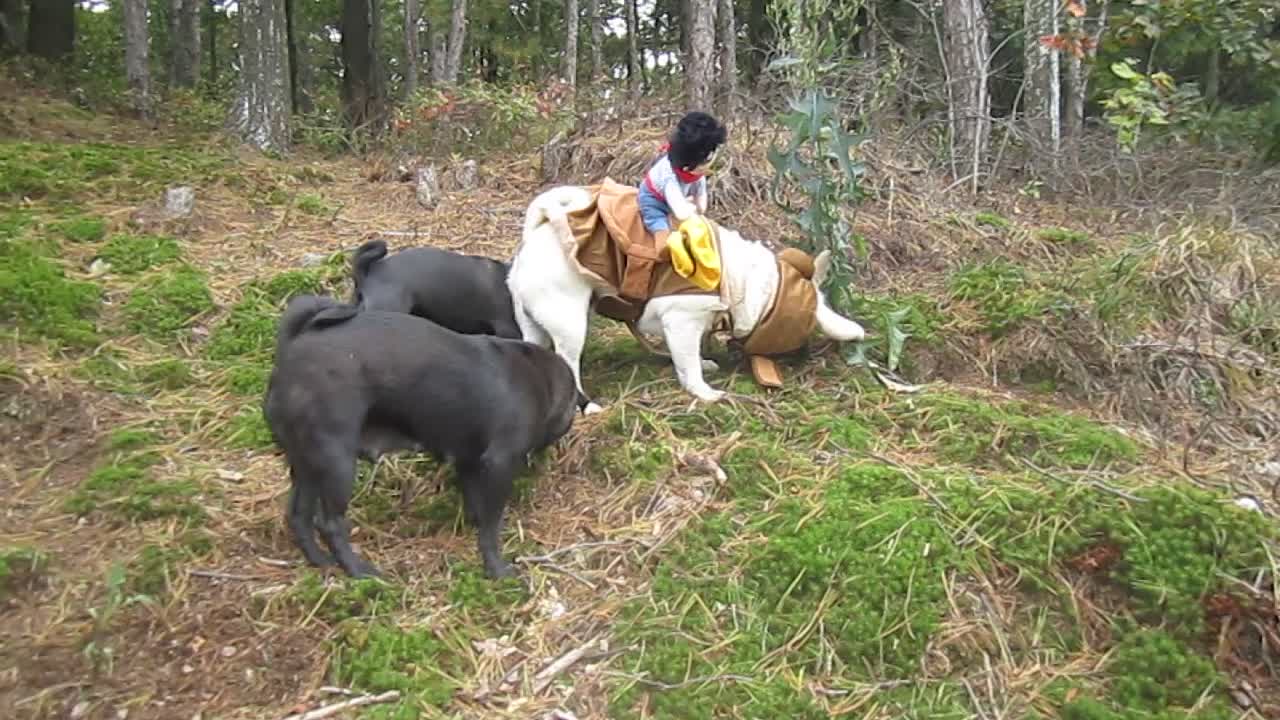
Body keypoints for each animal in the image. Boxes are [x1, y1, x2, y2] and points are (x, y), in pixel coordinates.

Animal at [264, 292, 586, 576]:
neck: (539, 377)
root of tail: (291, 353)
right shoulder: (499, 464)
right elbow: (491, 525)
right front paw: (496, 569)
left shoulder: (468, 462)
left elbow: (477, 506)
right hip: (336, 463)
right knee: (329, 523)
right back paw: (358, 571)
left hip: (307, 465)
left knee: (299, 515)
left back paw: (320, 561)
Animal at [504, 184, 865, 409]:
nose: (804, 355)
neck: (746, 282)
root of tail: (537, 236)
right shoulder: (682, 323)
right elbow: (689, 366)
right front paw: (703, 392)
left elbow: (690, 357)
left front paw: (705, 363)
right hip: (571, 323)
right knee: (568, 362)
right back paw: (585, 404)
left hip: (534, 326)